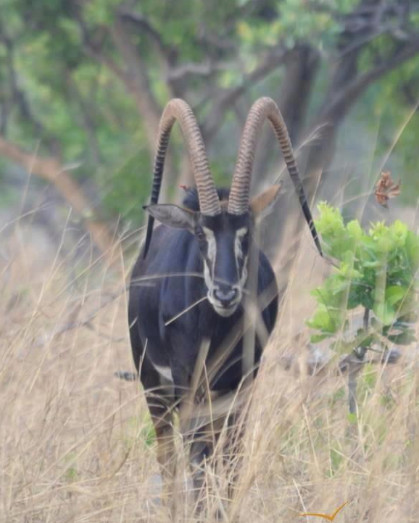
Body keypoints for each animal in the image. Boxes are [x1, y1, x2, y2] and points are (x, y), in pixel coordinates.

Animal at [128, 97, 322, 500]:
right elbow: (197, 460)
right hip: (154, 386)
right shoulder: (188, 382)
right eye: (202, 235)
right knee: (169, 459)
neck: (214, 328)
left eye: (245, 232)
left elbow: (230, 460)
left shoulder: (240, 382)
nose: (225, 293)